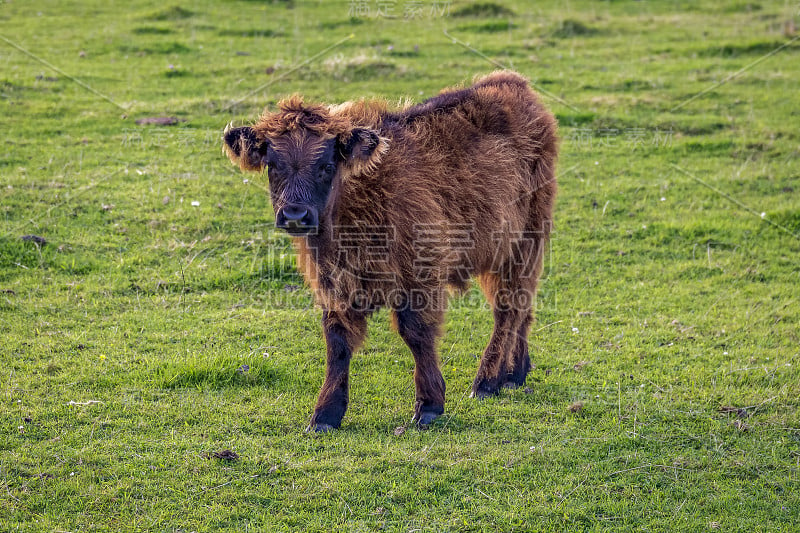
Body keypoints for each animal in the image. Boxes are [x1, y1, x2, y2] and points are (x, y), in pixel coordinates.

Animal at [220, 70, 556, 430]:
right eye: (273, 164)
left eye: (326, 165)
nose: (295, 215)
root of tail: (512, 83)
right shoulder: (334, 286)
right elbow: (337, 343)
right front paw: (325, 414)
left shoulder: (420, 275)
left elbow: (416, 333)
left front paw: (428, 406)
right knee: (522, 306)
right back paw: (515, 374)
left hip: (523, 245)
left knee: (508, 309)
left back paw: (487, 381)